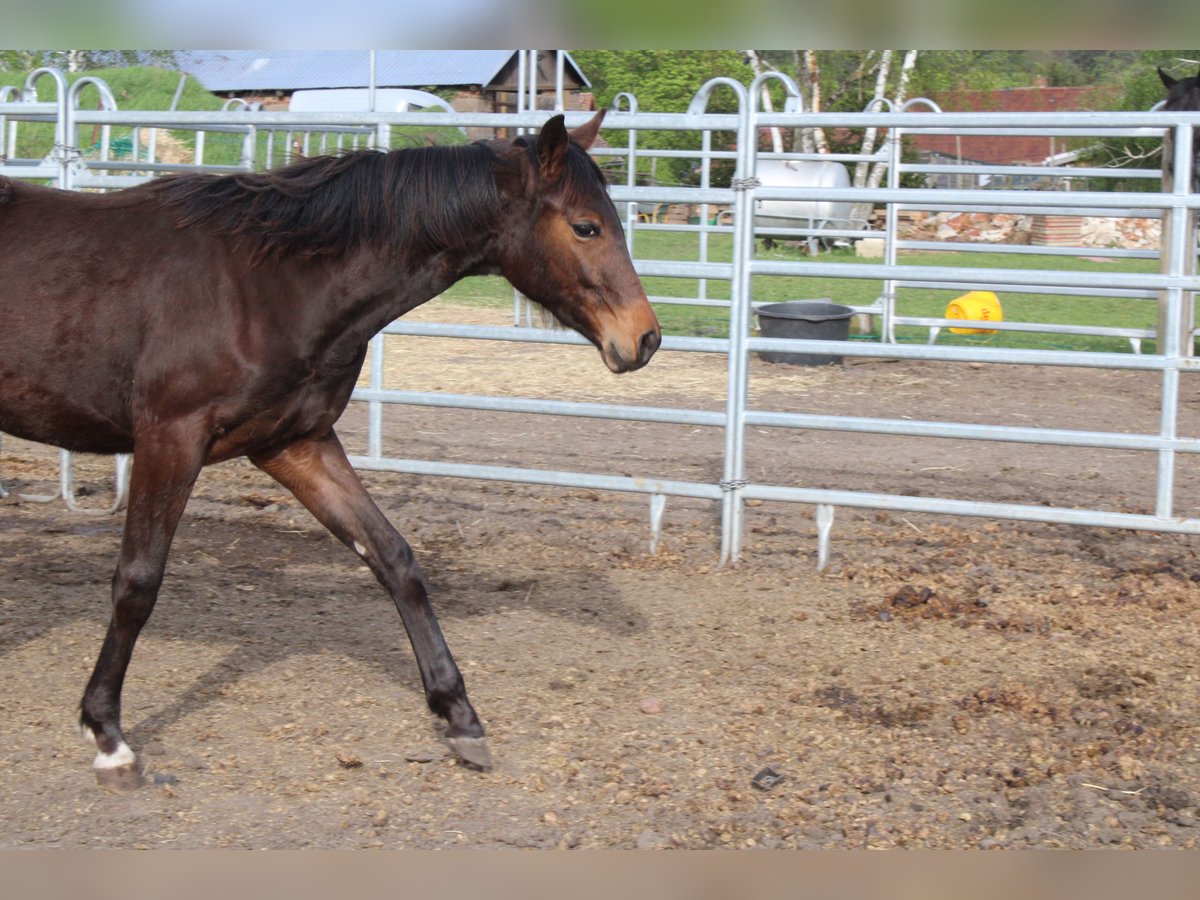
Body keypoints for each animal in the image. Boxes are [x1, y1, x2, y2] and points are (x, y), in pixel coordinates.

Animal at [0, 111, 662, 787]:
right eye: (586, 226)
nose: (644, 338)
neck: (268, 283)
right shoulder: (170, 438)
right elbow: (138, 582)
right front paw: (107, 736)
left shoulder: (294, 443)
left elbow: (394, 558)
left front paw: (460, 718)